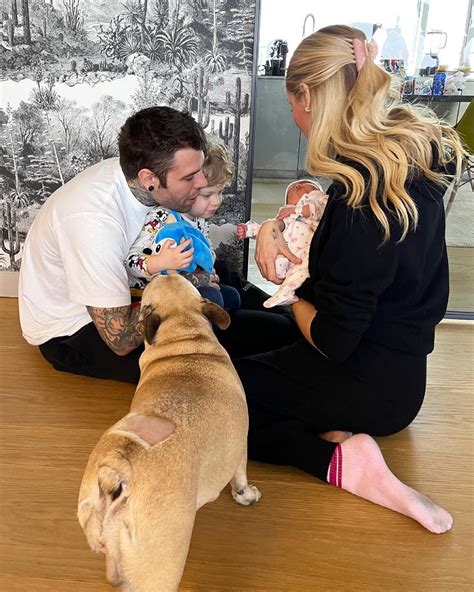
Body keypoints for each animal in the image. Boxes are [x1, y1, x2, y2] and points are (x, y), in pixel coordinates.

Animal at [79, 276, 262, 588]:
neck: (184, 335)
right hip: (163, 565)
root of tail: (115, 474)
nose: (160, 271)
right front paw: (245, 496)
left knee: (114, 571)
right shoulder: (241, 446)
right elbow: (240, 477)